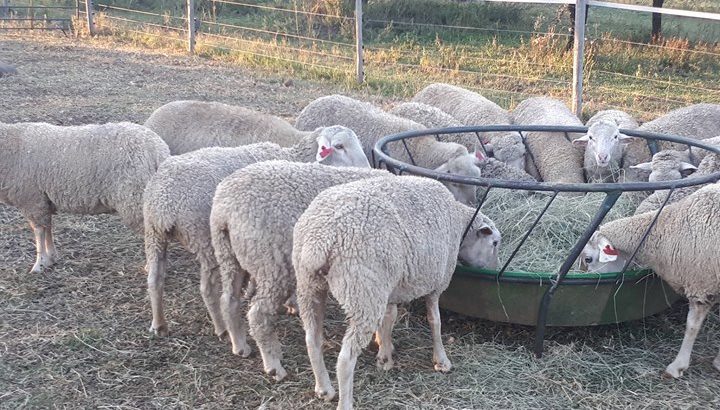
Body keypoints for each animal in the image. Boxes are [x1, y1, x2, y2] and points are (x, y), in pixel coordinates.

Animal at [0, 121, 169, 273]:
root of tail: (158, 149)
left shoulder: (32, 200)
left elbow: (39, 232)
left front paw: (38, 264)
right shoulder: (42, 201)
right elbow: (48, 228)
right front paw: (50, 258)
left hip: (135, 198)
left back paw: (152, 266)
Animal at [142, 126, 369, 338]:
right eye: (339, 146)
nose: (367, 169)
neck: (295, 158)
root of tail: (164, 203)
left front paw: (251, 291)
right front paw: (290, 303)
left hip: (154, 235)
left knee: (154, 279)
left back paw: (159, 324)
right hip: (203, 237)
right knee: (208, 289)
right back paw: (222, 328)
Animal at [209, 161, 390, 380]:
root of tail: (224, 210)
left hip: (229, 255)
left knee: (229, 299)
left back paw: (240, 345)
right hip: (273, 264)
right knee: (258, 315)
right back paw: (273, 366)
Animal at [292, 175, 501, 409]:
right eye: (495, 242)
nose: (496, 270)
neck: (458, 223)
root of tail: (319, 240)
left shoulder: (390, 288)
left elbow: (388, 319)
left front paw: (384, 354)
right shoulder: (436, 283)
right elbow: (435, 321)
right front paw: (441, 360)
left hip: (311, 286)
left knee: (312, 339)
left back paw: (324, 388)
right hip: (362, 291)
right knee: (345, 359)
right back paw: (344, 402)